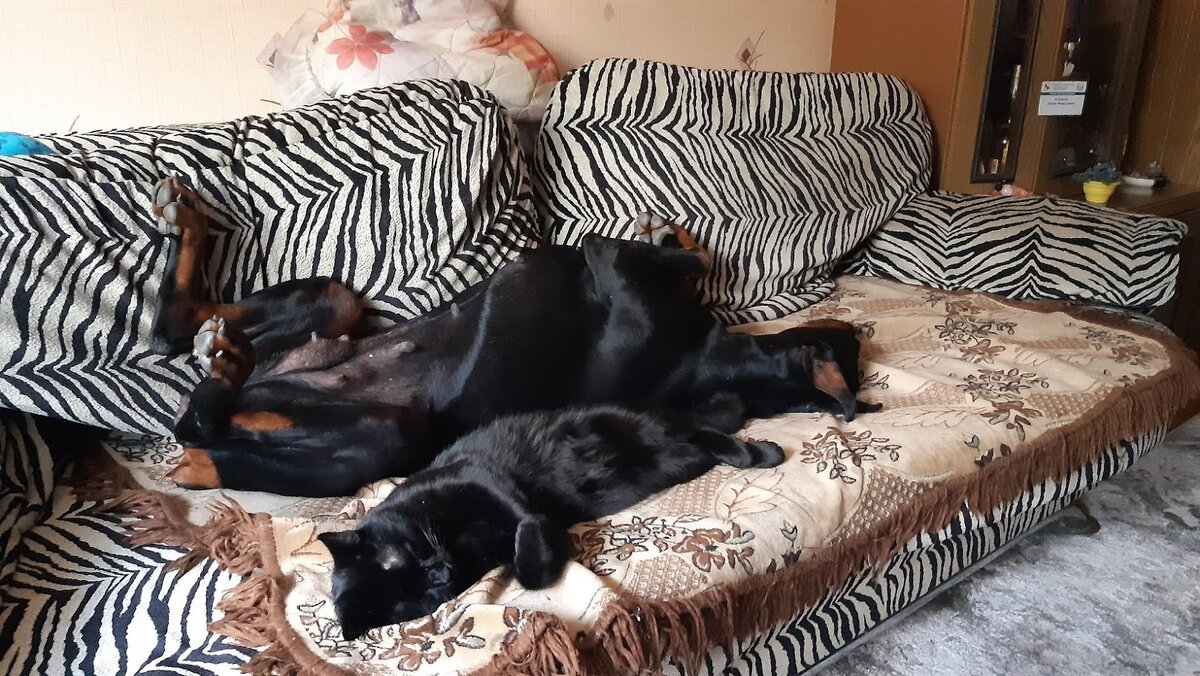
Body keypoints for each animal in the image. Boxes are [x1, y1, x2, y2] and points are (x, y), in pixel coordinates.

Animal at [150, 178, 879, 497]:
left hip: (383, 432)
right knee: (182, 330)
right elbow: (699, 257)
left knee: (200, 426)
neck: (712, 365)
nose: (854, 323)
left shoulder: (607, 259)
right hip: (333, 312)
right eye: (854, 341)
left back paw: (217, 395)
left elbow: (686, 259)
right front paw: (671, 230)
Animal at [317, 397, 784, 640]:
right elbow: (529, 573)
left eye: (397, 558)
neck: (454, 543)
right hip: (674, 461)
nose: (438, 574)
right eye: (407, 599)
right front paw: (544, 548)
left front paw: (537, 530)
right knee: (699, 444)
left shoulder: (480, 477)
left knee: (703, 428)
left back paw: (764, 452)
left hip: (643, 428)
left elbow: (522, 518)